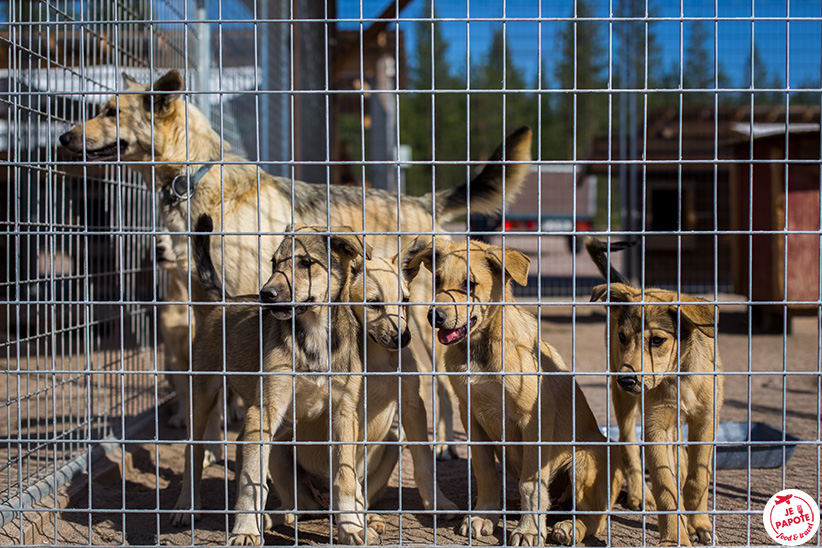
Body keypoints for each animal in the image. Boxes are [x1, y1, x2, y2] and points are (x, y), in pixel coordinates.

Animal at [175, 214, 374, 544]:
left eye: (306, 263)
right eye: (274, 263)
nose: (265, 294)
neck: (314, 334)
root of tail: (225, 301)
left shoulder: (343, 414)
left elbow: (344, 477)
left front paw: (351, 528)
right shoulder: (266, 408)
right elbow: (252, 480)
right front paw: (245, 530)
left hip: (276, 425)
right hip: (203, 397)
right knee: (194, 450)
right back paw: (188, 505)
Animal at [584, 238, 728, 544]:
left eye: (658, 340)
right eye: (622, 336)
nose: (627, 380)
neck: (677, 377)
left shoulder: (706, 421)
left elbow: (697, 478)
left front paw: (699, 524)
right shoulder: (655, 428)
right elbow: (665, 487)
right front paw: (675, 536)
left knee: (682, 459)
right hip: (624, 401)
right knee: (628, 442)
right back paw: (640, 494)